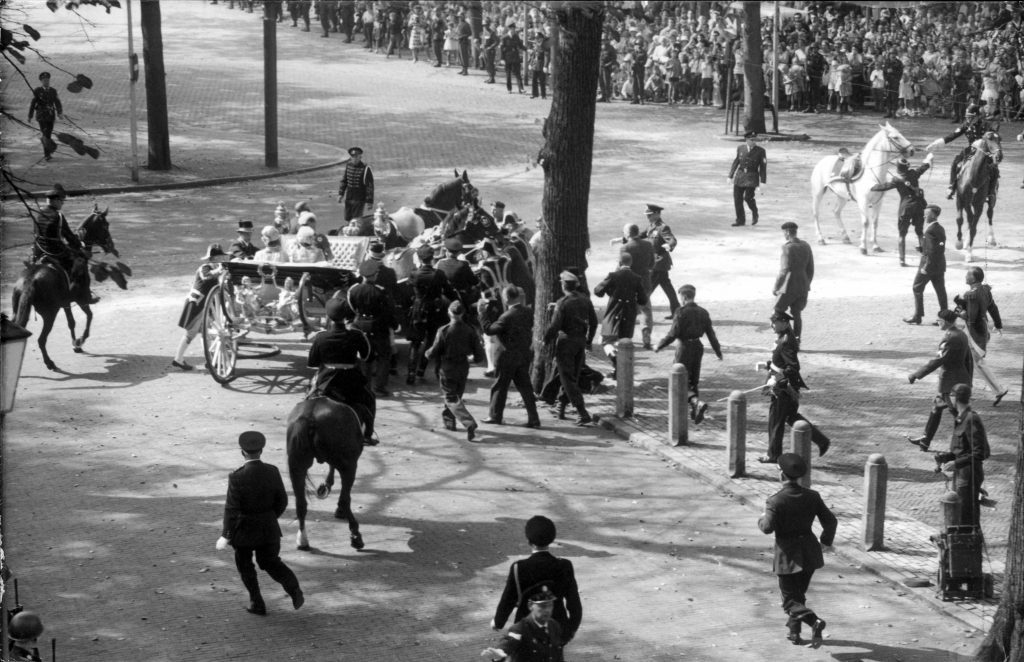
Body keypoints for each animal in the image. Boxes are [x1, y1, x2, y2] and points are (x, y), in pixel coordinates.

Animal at [13, 205, 120, 373]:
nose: (111, 246)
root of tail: (30, 280)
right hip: (50, 314)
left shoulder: (66, 302)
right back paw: (50, 363)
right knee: (41, 339)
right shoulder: (80, 298)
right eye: (105, 225)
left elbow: (71, 322)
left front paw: (75, 343)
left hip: (17, 310)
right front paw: (80, 341)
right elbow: (89, 316)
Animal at [286, 397, 366, 553]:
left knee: (300, 503)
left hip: (296, 466)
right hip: (349, 466)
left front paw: (326, 484)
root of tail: (309, 417)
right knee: (344, 499)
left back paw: (302, 540)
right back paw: (355, 535)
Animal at [811, 121, 917, 254]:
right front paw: (863, 247)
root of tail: (822, 161)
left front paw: (876, 246)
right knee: (816, 214)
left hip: (842, 196)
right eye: (895, 137)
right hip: (818, 193)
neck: (872, 173)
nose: (912, 150)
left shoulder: (878, 202)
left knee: (836, 212)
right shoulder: (863, 201)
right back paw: (820, 239)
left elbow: (875, 223)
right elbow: (866, 222)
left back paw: (845, 237)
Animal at [954, 131, 1003, 262]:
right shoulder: (962, 200)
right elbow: (961, 219)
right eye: (989, 138)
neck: (974, 176)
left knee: (990, 214)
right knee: (967, 219)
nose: (999, 156)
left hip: (992, 199)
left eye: (1000, 139)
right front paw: (960, 242)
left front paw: (969, 253)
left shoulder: (978, 205)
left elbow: (973, 227)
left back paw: (992, 238)